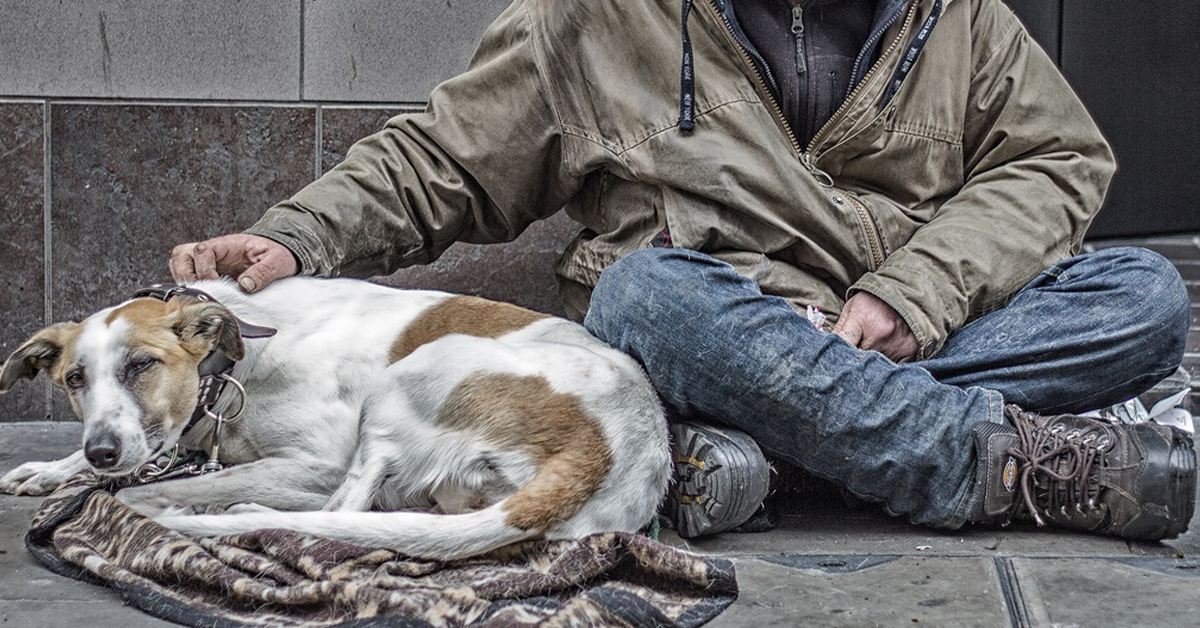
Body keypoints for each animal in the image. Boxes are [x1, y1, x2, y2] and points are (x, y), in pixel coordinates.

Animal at [0, 278, 676, 559]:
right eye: (74, 380)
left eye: (142, 364)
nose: (103, 453)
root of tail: (607, 450)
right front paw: (51, 469)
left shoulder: (318, 462)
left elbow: (172, 484)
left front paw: (129, 495)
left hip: (408, 381)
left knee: (341, 513)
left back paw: (243, 516)